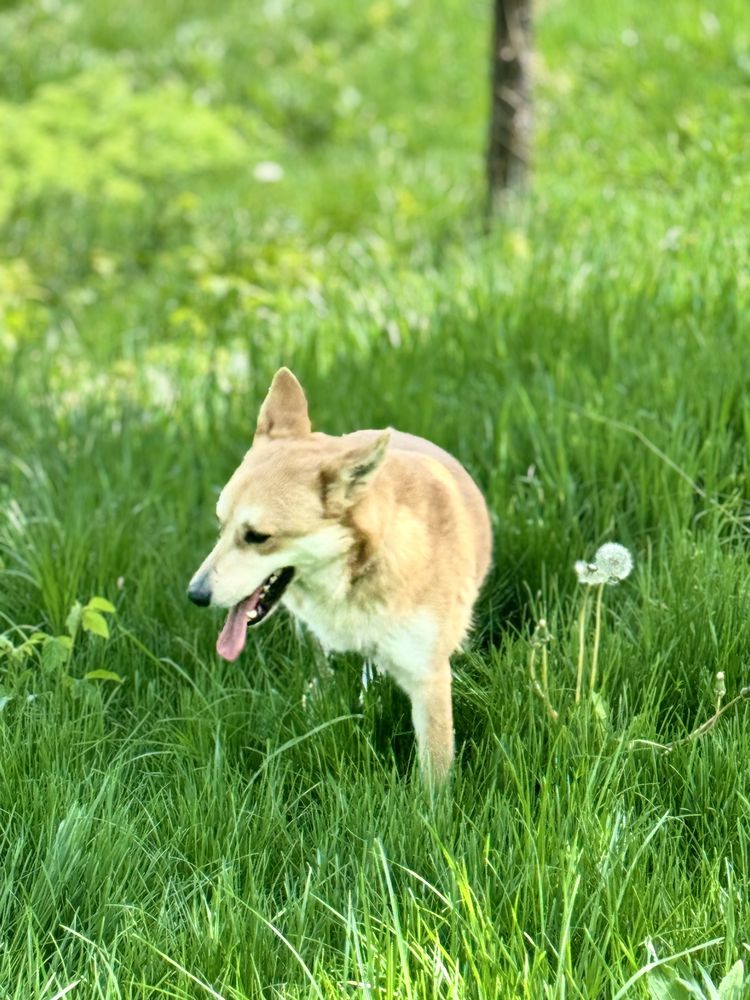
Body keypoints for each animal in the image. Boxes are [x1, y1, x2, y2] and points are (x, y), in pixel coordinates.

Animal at [188, 370, 494, 780]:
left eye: (257, 537)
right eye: (221, 526)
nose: (195, 594)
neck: (353, 576)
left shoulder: (427, 677)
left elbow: (434, 771)